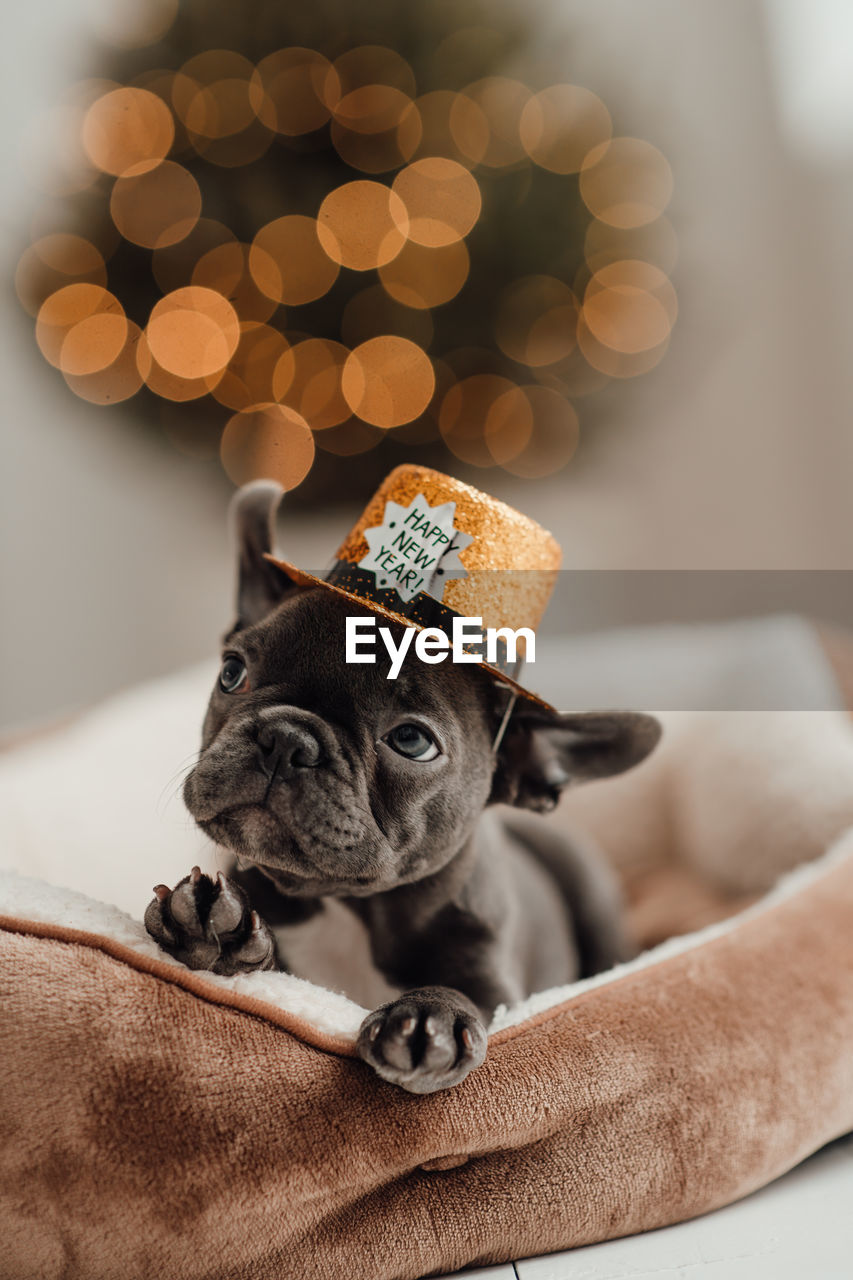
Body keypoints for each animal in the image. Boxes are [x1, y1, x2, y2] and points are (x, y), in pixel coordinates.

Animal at [146, 481, 655, 1090]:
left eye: (412, 741)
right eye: (231, 672)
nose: (285, 739)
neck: (349, 907)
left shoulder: (497, 988)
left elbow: (467, 996)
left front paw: (432, 1016)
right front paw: (211, 926)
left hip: (586, 881)